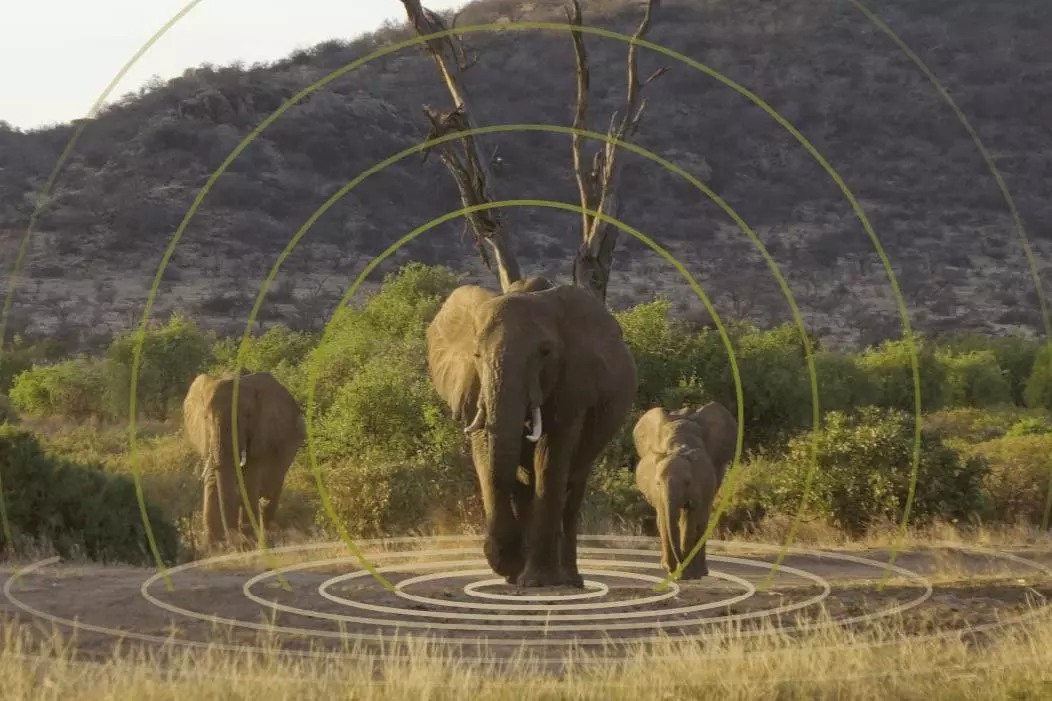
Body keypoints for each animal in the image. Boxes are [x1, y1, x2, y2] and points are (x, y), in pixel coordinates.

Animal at [182, 370, 306, 547]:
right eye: (206, 417)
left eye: (248, 415)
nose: (233, 542)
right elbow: (213, 481)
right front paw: (214, 546)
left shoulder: (261, 436)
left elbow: (248, 480)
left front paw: (250, 539)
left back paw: (269, 529)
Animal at [426, 276, 637, 587]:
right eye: (476, 354)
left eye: (545, 352)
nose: (504, 560)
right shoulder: (474, 387)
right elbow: (485, 452)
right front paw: (512, 568)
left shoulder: (572, 385)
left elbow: (550, 456)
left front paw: (538, 580)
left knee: (572, 492)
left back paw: (570, 580)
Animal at [632, 401, 737, 579]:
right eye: (658, 483)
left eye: (687, 482)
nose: (681, 571)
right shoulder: (657, 491)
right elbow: (664, 519)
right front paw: (671, 570)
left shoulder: (700, 484)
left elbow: (691, 518)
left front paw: (688, 573)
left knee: (701, 519)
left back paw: (701, 571)